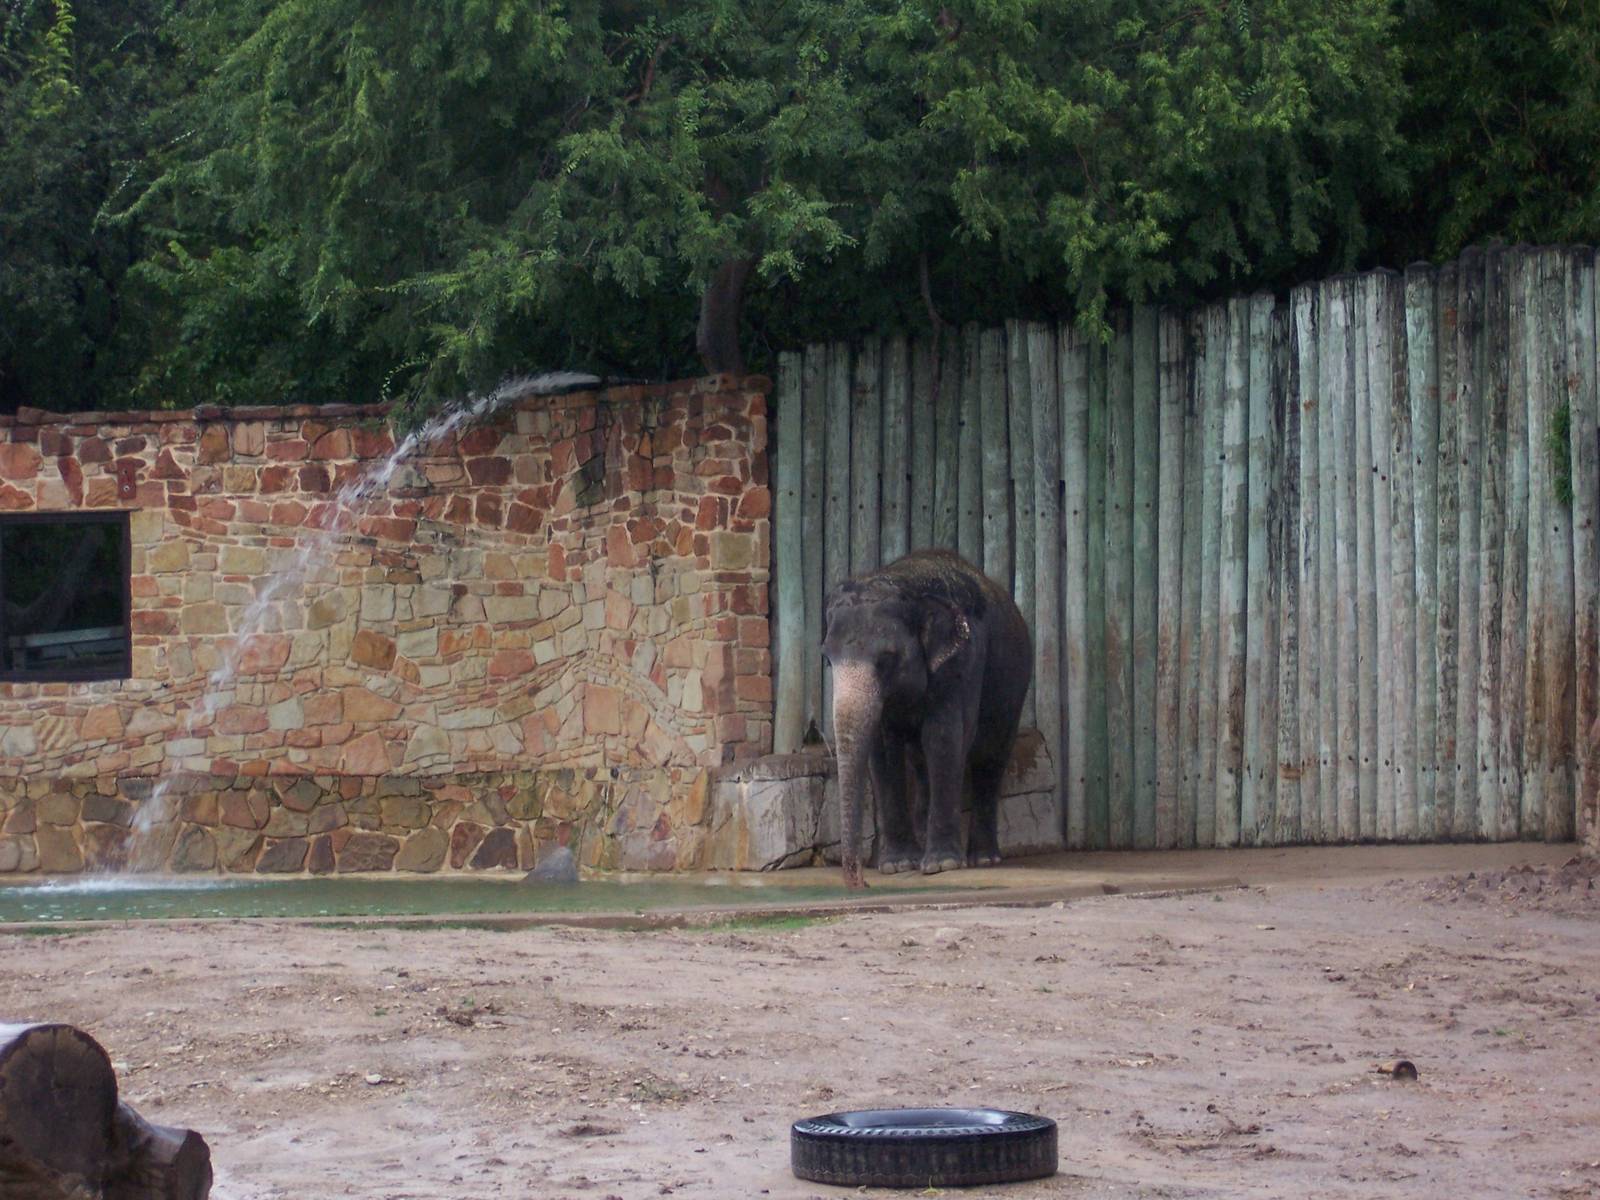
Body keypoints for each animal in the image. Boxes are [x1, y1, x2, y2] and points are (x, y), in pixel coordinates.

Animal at [822, 548, 1032, 889]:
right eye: (827, 660)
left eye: (887, 659)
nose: (861, 883)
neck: (906, 584)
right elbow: (884, 751)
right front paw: (897, 865)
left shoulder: (962, 664)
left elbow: (943, 737)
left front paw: (942, 865)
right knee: (921, 763)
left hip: (1013, 682)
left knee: (990, 755)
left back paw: (983, 859)